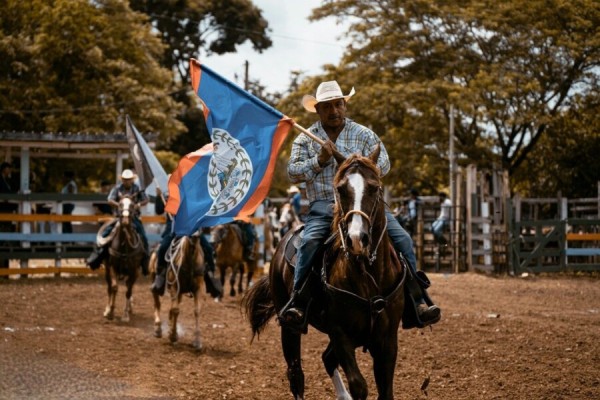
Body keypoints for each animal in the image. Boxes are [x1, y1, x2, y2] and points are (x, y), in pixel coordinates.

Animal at [100, 195, 145, 324]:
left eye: (132, 205)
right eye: (120, 204)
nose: (125, 220)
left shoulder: (134, 270)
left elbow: (128, 291)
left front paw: (125, 315)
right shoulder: (113, 266)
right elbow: (114, 287)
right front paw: (110, 312)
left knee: (129, 288)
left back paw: (129, 308)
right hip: (107, 269)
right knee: (109, 287)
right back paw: (107, 309)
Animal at [241, 147, 406, 400]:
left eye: (374, 187)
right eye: (341, 189)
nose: (357, 239)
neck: (368, 276)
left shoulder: (387, 339)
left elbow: (385, 391)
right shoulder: (340, 334)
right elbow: (359, 385)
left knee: (326, 359)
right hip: (289, 326)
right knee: (296, 375)